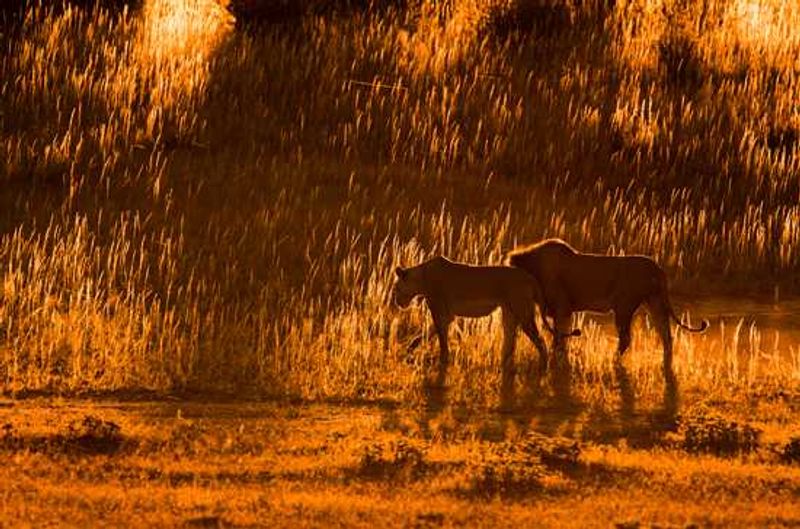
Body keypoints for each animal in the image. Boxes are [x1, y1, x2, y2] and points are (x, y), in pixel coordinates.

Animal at [392, 256, 579, 383]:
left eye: (396, 288)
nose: (397, 302)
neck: (421, 277)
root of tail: (530, 277)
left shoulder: (439, 311)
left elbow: (441, 338)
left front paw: (443, 361)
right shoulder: (447, 315)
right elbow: (424, 335)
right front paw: (409, 350)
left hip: (523, 312)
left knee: (540, 340)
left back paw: (543, 368)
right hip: (509, 313)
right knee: (510, 341)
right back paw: (504, 366)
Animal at [507, 239, 708, 368]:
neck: (534, 266)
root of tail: (657, 267)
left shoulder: (561, 308)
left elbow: (558, 337)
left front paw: (557, 359)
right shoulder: (563, 311)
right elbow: (561, 336)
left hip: (624, 307)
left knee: (626, 338)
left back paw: (612, 361)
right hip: (655, 303)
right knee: (666, 335)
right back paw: (666, 364)